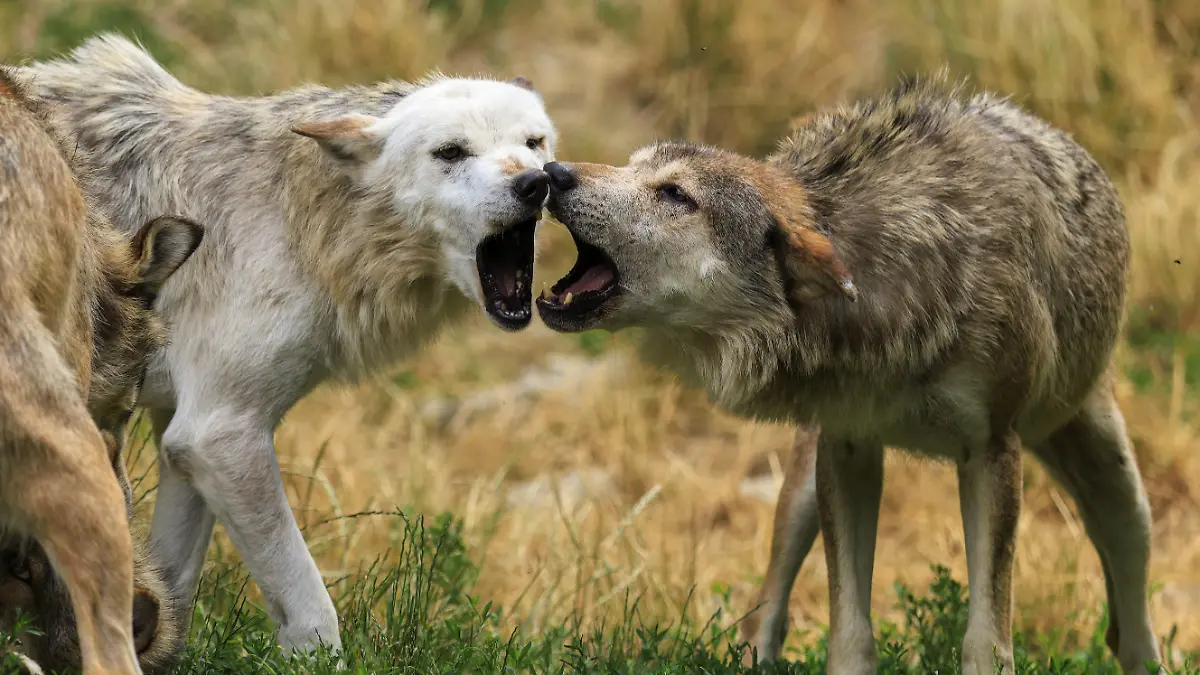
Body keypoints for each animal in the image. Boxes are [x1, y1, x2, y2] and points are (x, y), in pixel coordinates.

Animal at [536, 78, 1163, 675]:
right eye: (632, 164)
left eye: (674, 193)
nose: (553, 173)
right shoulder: (848, 445)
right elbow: (850, 631)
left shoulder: (992, 450)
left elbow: (986, 637)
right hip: (803, 490)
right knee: (766, 610)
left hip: (1123, 495)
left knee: (1128, 623)